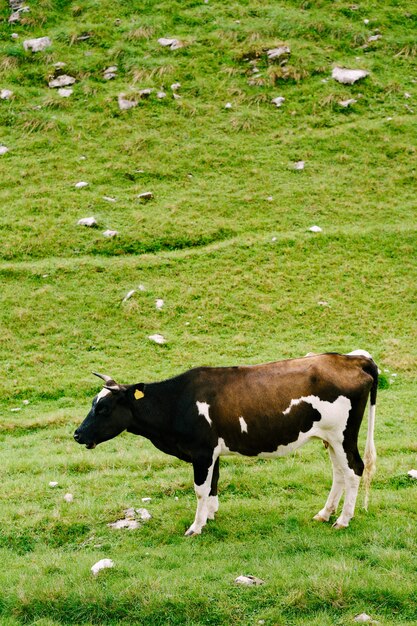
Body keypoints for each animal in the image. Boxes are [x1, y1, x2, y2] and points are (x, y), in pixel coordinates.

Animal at [74, 352, 376, 532]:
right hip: (329, 438)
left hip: (342, 435)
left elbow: (200, 489)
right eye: (93, 404)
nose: (77, 434)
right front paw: (210, 516)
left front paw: (196, 527)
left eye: (104, 408)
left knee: (354, 470)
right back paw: (324, 514)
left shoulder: (202, 452)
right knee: (339, 473)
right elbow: (213, 485)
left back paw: (343, 519)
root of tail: (351, 358)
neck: (177, 402)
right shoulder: (212, 453)